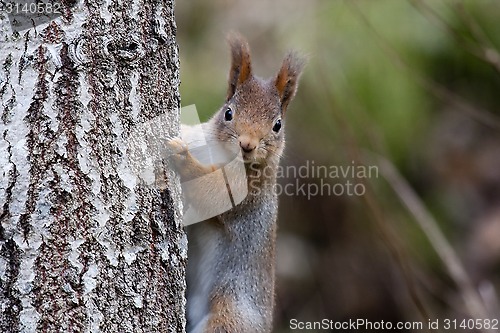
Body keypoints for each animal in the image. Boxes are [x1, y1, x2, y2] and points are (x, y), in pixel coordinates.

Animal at [168, 33, 304, 332]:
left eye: (277, 125)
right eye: (228, 112)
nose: (247, 144)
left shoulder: (247, 192)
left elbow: (212, 192)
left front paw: (181, 158)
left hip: (228, 318)